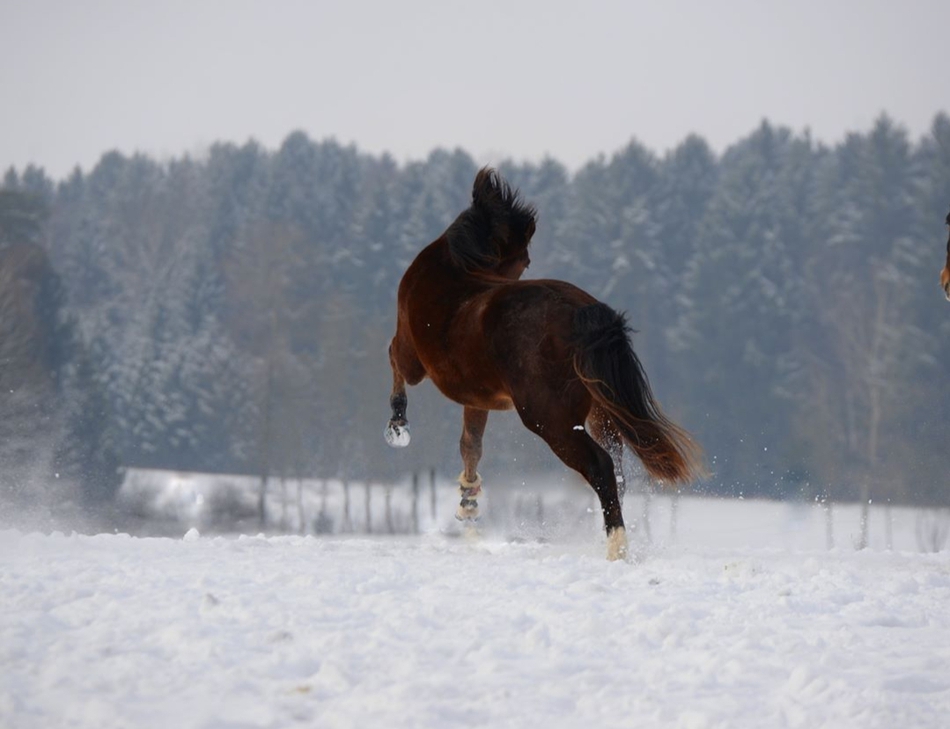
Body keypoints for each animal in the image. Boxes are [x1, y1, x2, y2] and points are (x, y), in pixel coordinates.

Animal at [385, 168, 705, 560]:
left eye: (524, 261)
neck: (449, 269)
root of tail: (582, 311)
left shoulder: (414, 360)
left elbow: (393, 359)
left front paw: (397, 426)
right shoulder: (478, 396)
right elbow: (471, 444)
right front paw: (468, 502)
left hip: (550, 418)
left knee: (600, 466)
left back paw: (616, 547)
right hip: (600, 413)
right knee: (617, 472)